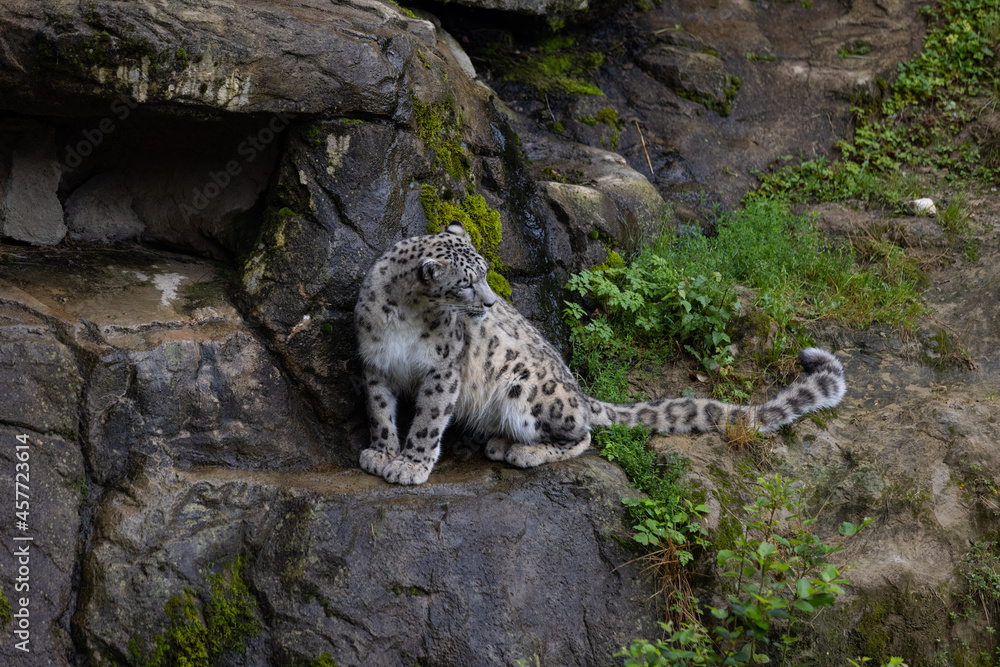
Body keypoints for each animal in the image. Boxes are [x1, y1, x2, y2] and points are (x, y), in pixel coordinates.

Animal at [354, 221, 846, 485]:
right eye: (465, 282)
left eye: (486, 272)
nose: (491, 302)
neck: (405, 316)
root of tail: (578, 390)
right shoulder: (374, 363)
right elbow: (379, 411)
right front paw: (380, 453)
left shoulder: (443, 369)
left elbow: (428, 418)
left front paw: (409, 465)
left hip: (528, 392)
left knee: (584, 433)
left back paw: (521, 451)